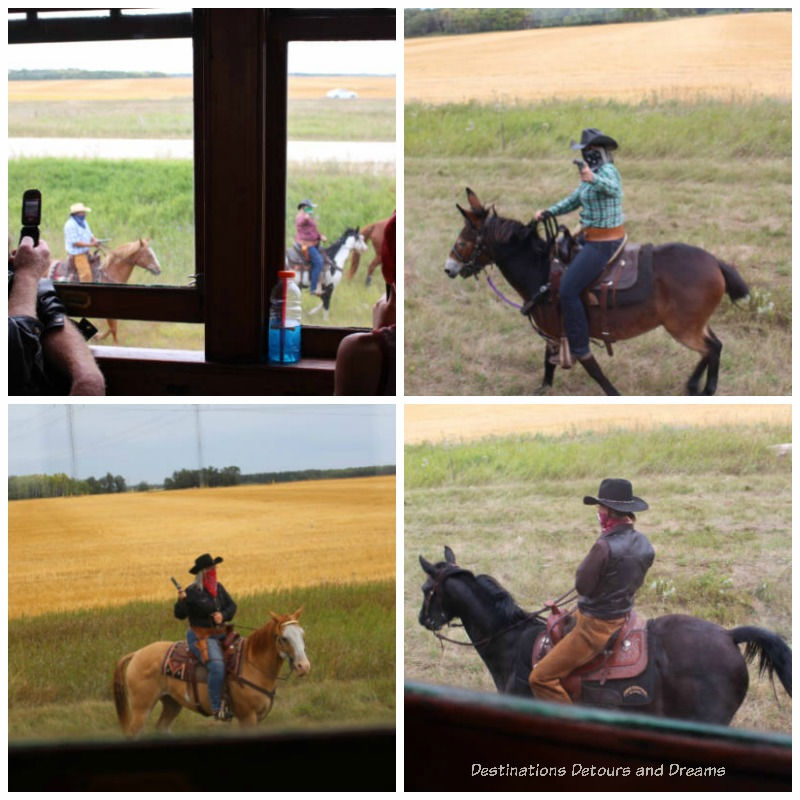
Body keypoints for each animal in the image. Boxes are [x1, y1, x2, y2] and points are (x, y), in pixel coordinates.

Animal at [112, 612, 310, 736]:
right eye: (284, 638)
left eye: (302, 634)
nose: (303, 666)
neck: (252, 664)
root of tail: (137, 654)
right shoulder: (247, 717)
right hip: (142, 708)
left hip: (171, 703)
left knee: (162, 727)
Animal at [444, 191, 752, 396]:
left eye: (463, 241)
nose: (449, 268)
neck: (542, 271)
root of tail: (716, 263)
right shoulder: (554, 332)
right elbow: (548, 366)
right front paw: (542, 390)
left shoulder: (570, 328)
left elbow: (590, 365)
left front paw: (614, 393)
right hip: (695, 324)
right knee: (716, 346)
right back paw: (694, 386)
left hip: (683, 327)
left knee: (711, 349)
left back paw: (705, 389)